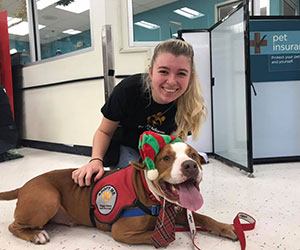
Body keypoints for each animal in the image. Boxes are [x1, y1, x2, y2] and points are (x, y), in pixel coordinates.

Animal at [0, 141, 239, 246]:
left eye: (193, 155)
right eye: (166, 158)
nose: (190, 165)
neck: (153, 196)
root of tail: (25, 184)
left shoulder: (179, 211)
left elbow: (203, 217)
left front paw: (227, 227)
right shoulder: (121, 231)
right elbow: (161, 235)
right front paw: (166, 234)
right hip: (48, 198)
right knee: (14, 226)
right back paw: (35, 235)